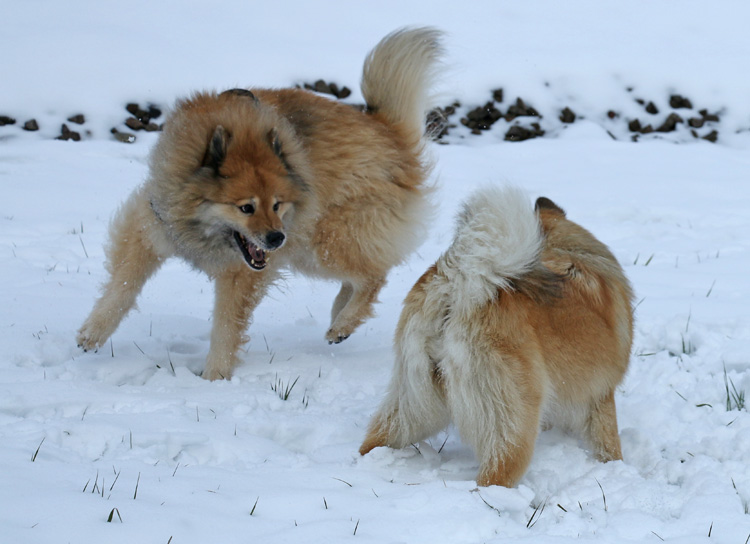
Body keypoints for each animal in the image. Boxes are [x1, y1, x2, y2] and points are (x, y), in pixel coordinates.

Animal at [77, 26, 446, 378]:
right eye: (246, 207)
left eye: (277, 204)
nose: (275, 238)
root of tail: (390, 132)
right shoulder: (153, 226)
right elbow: (122, 287)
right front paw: (93, 332)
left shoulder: (242, 272)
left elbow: (225, 327)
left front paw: (213, 377)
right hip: (307, 247)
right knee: (361, 275)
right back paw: (339, 313)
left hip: (322, 239)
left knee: (373, 276)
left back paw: (343, 323)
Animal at [360, 188, 636, 488]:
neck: (563, 250)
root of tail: (461, 285)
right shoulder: (601, 395)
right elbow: (609, 445)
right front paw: (616, 468)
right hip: (513, 422)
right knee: (493, 477)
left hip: (414, 404)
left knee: (375, 440)